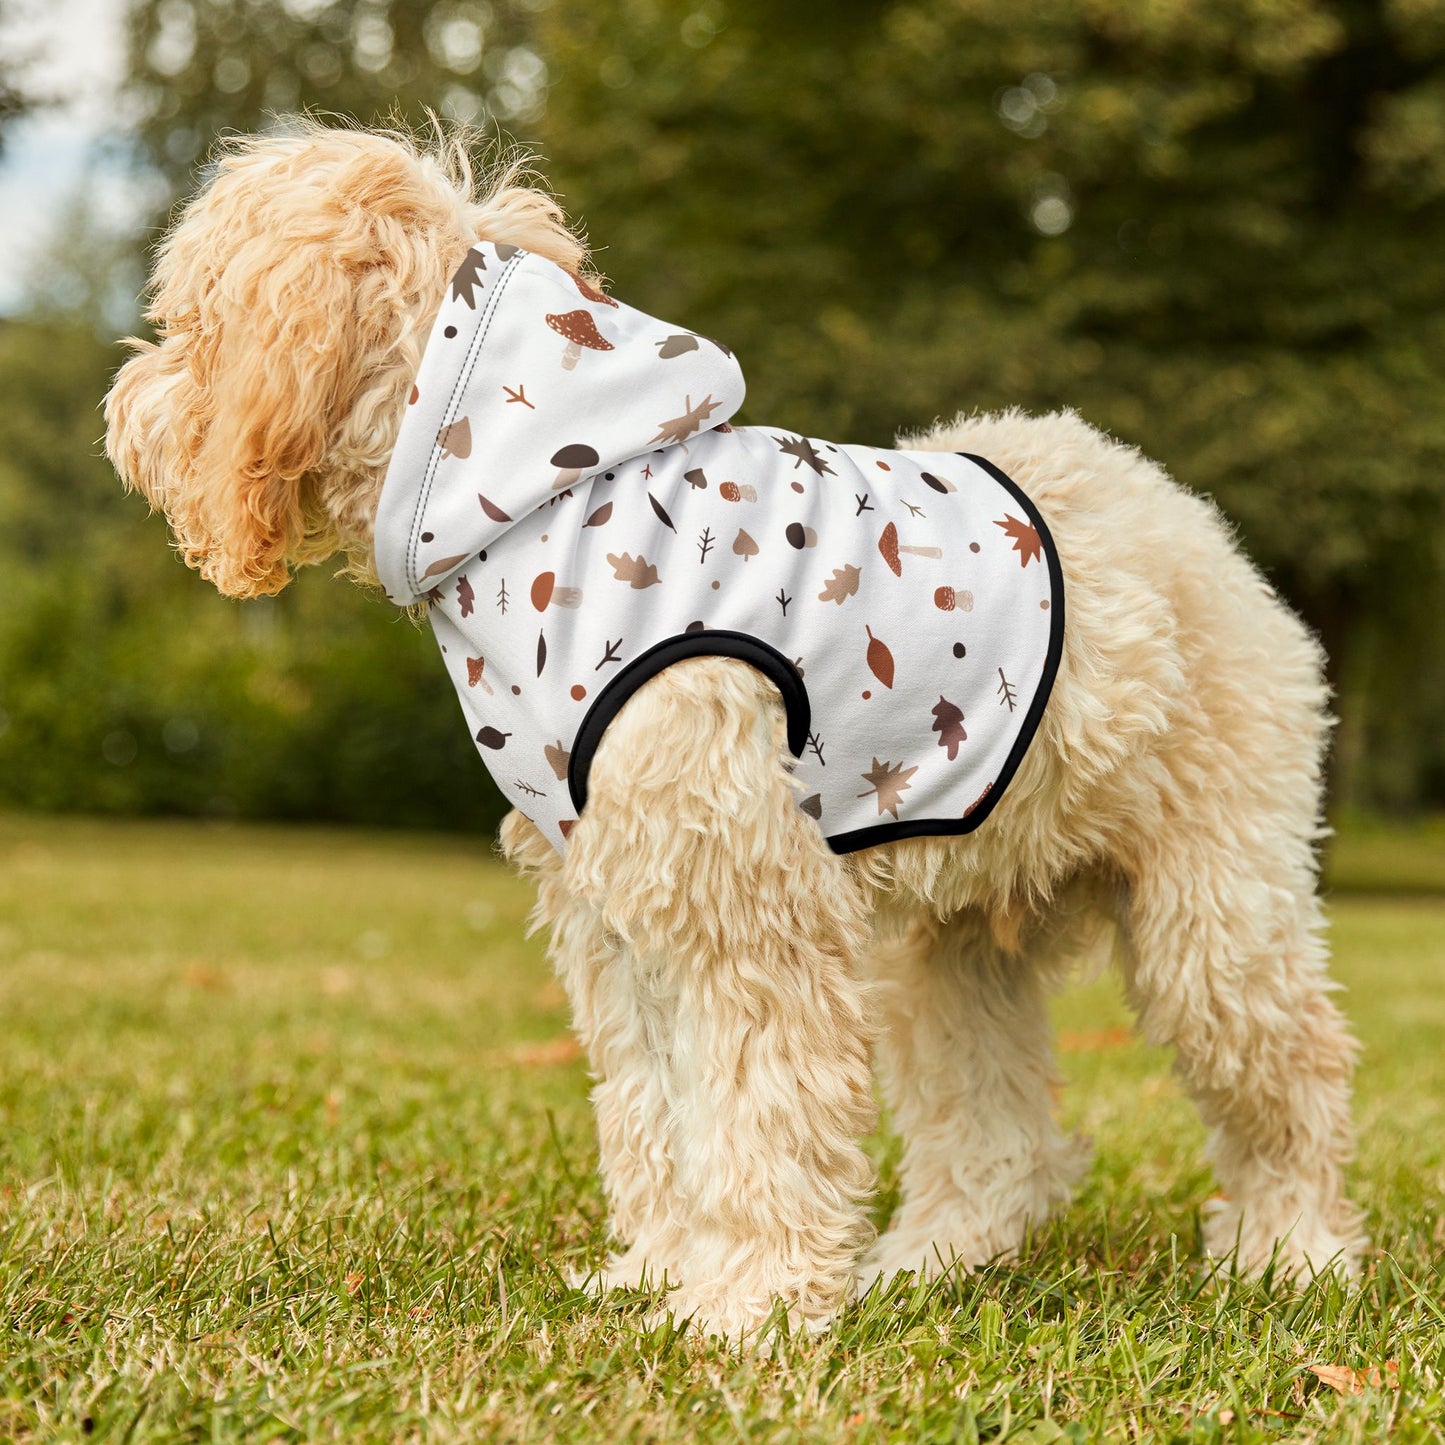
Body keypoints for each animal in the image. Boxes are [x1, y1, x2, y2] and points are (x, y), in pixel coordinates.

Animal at [104, 124, 1364, 1340]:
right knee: (995, 1132)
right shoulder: (617, 911)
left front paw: (747, 1304)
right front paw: (662, 1273)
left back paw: (1290, 1251)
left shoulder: (744, 902)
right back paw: (929, 1260)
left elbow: (759, 1110)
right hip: (949, 947)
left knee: (1292, 1074)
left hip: (1211, 912)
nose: (123, 407)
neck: (537, 493)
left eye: (190, 319)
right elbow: (656, 1110)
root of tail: (1185, 516)